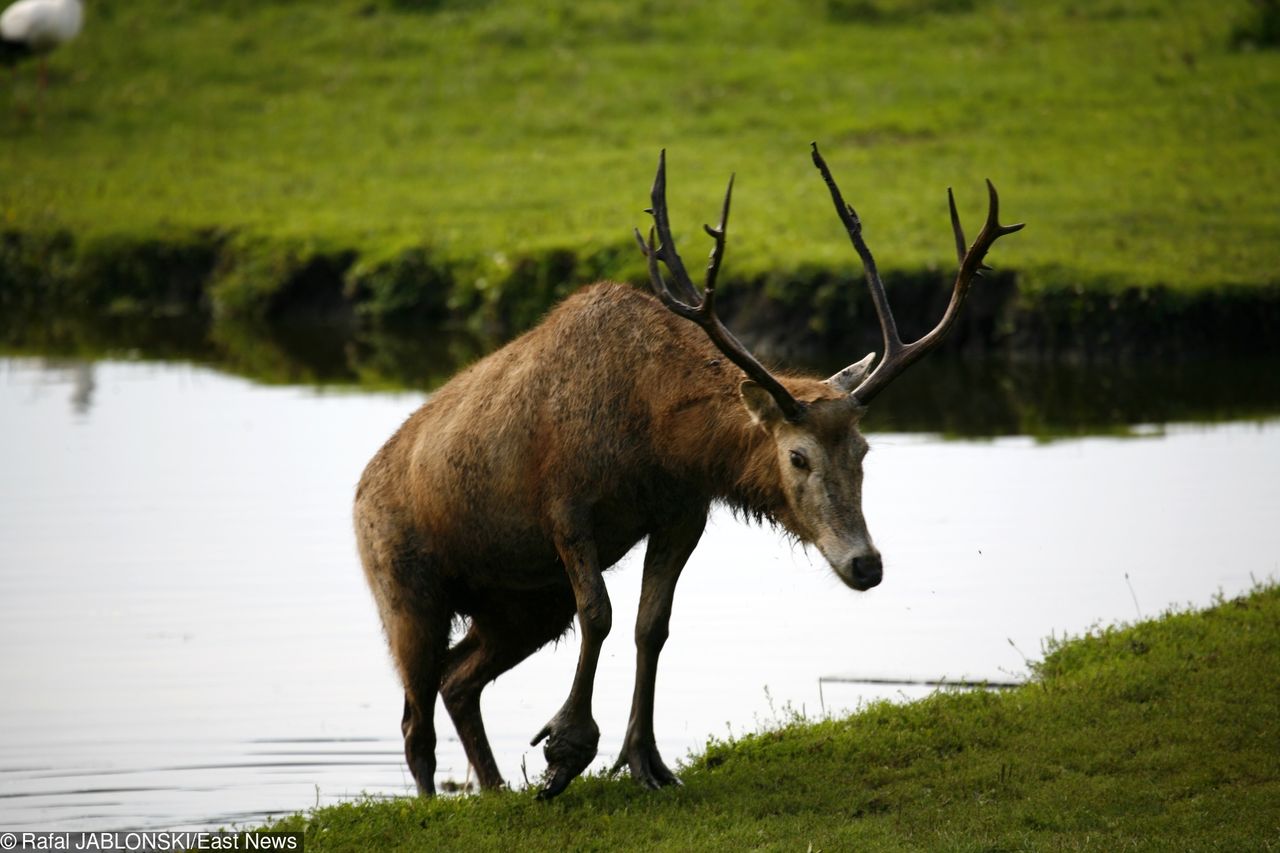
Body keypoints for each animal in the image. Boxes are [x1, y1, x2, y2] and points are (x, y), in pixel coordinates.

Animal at [350, 139, 1018, 799]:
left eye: (863, 451)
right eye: (797, 455)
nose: (866, 564)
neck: (658, 439)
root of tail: (358, 492)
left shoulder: (681, 514)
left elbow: (653, 625)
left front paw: (646, 760)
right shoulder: (566, 508)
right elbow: (601, 615)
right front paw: (566, 752)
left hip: (525, 602)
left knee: (458, 679)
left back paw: (492, 790)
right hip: (406, 590)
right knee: (415, 717)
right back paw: (434, 802)